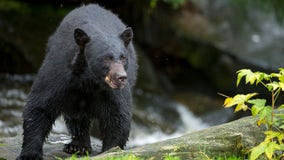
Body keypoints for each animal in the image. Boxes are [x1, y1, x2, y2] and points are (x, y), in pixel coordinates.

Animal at [16, 3, 138, 160]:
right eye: (106, 58)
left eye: (123, 58)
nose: (121, 77)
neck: (89, 81)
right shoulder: (60, 75)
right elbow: (40, 105)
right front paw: (29, 154)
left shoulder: (111, 92)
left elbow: (117, 116)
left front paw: (111, 150)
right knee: (76, 116)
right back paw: (78, 146)